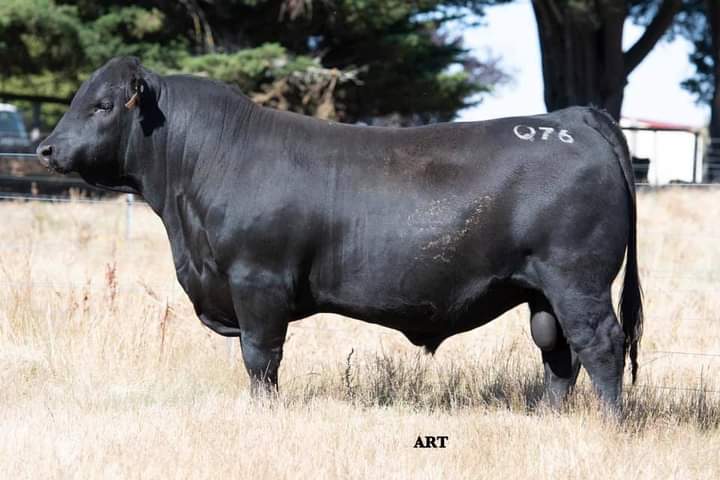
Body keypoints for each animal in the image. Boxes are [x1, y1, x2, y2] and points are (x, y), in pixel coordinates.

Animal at [37, 57, 642, 411]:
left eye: (102, 105)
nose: (46, 149)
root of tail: (570, 118)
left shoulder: (257, 282)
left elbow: (261, 357)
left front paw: (264, 413)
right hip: (542, 289)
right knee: (557, 351)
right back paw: (547, 417)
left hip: (577, 278)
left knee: (600, 344)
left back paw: (608, 423)